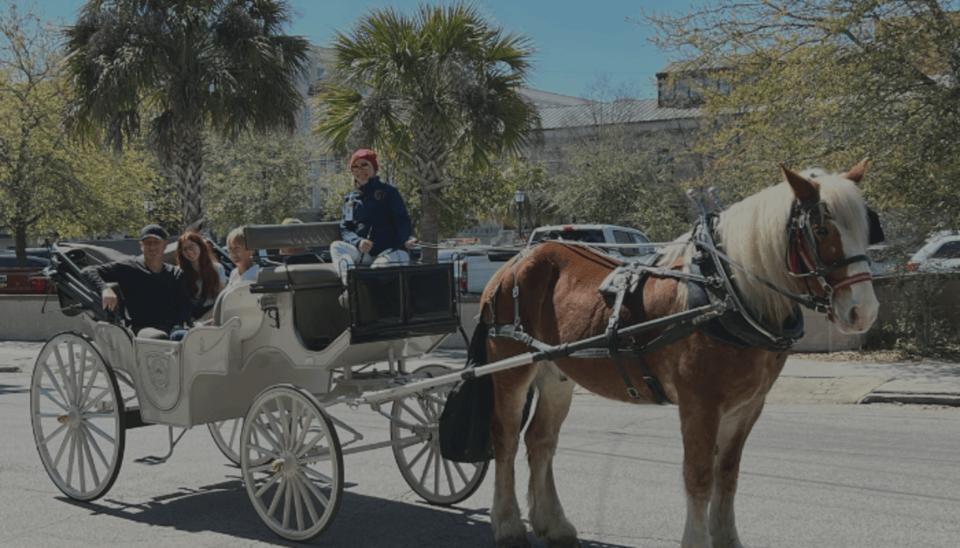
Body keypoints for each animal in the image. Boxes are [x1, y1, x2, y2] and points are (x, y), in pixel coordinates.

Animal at [476, 159, 880, 548]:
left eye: (867, 226)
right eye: (821, 230)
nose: (864, 311)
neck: (725, 292)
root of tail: (515, 261)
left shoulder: (748, 406)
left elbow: (727, 475)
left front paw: (727, 538)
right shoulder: (699, 403)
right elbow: (699, 477)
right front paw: (698, 540)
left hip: (556, 375)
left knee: (540, 441)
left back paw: (553, 524)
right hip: (510, 371)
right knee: (506, 438)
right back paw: (508, 524)